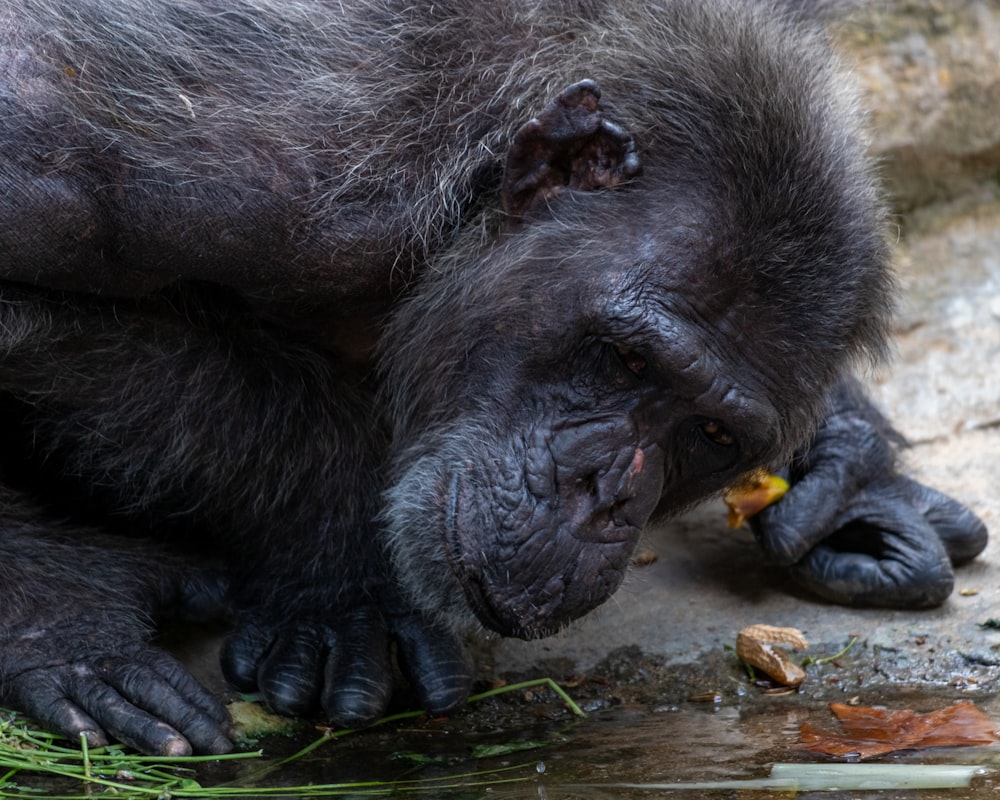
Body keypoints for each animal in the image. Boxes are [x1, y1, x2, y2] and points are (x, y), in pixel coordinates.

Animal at [0, 0, 984, 756]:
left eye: (710, 432)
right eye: (627, 357)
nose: (602, 496)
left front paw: (855, 481)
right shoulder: (193, 167)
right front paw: (340, 569)